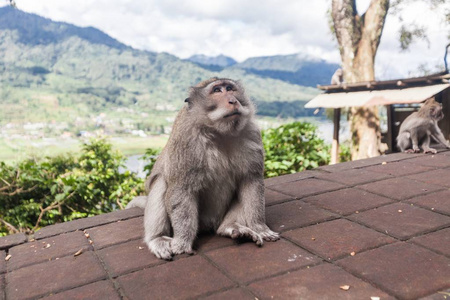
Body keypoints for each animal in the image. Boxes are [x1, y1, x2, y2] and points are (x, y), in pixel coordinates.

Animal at [126, 77, 280, 260]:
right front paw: (182, 242)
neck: (219, 131)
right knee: (161, 183)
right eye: (217, 91)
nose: (233, 100)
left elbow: (251, 181)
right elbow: (181, 189)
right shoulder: (186, 141)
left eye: (230, 88)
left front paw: (259, 227)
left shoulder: (251, 132)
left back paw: (231, 227)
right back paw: (158, 238)